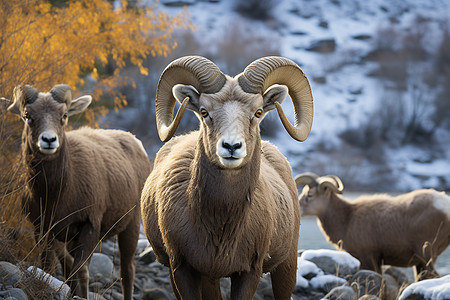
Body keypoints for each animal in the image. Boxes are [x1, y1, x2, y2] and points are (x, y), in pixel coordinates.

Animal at [3, 85, 151, 300]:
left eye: (64, 115)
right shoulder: (43, 229)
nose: (48, 140)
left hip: (131, 224)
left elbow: (80, 271)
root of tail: (135, 142)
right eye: (27, 115)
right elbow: (50, 267)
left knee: (127, 270)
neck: (55, 197)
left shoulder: (89, 227)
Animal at [141, 55, 312, 298]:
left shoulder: (249, 273)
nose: (232, 146)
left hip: (286, 265)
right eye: (204, 111)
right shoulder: (181, 270)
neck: (220, 224)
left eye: (258, 112)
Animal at [296, 172, 450, 280]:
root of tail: (444, 204)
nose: (298, 209)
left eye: (310, 194)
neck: (348, 218)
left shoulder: (368, 259)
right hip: (421, 262)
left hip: (426, 255)